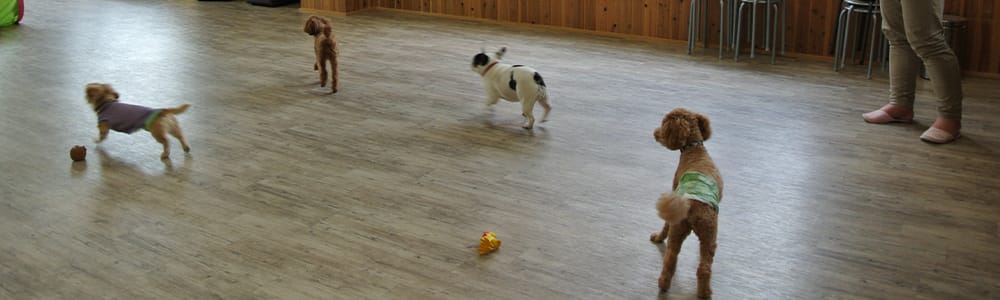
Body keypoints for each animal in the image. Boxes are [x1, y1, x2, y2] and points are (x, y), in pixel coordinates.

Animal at [648, 107, 728, 298]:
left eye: (664, 125)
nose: (655, 132)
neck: (694, 149)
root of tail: (692, 206)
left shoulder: (674, 185)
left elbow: (664, 226)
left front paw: (658, 237)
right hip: (709, 237)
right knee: (704, 268)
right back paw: (705, 293)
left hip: (678, 230)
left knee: (670, 259)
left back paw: (663, 284)